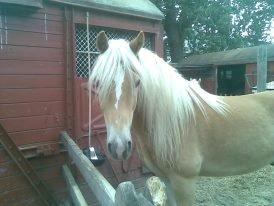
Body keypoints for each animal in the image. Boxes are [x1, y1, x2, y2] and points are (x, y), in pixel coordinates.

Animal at [89, 31, 274, 206]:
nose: (119, 147)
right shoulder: (166, 180)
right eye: (98, 83)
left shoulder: (184, 182)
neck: (177, 123)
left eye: (137, 82)